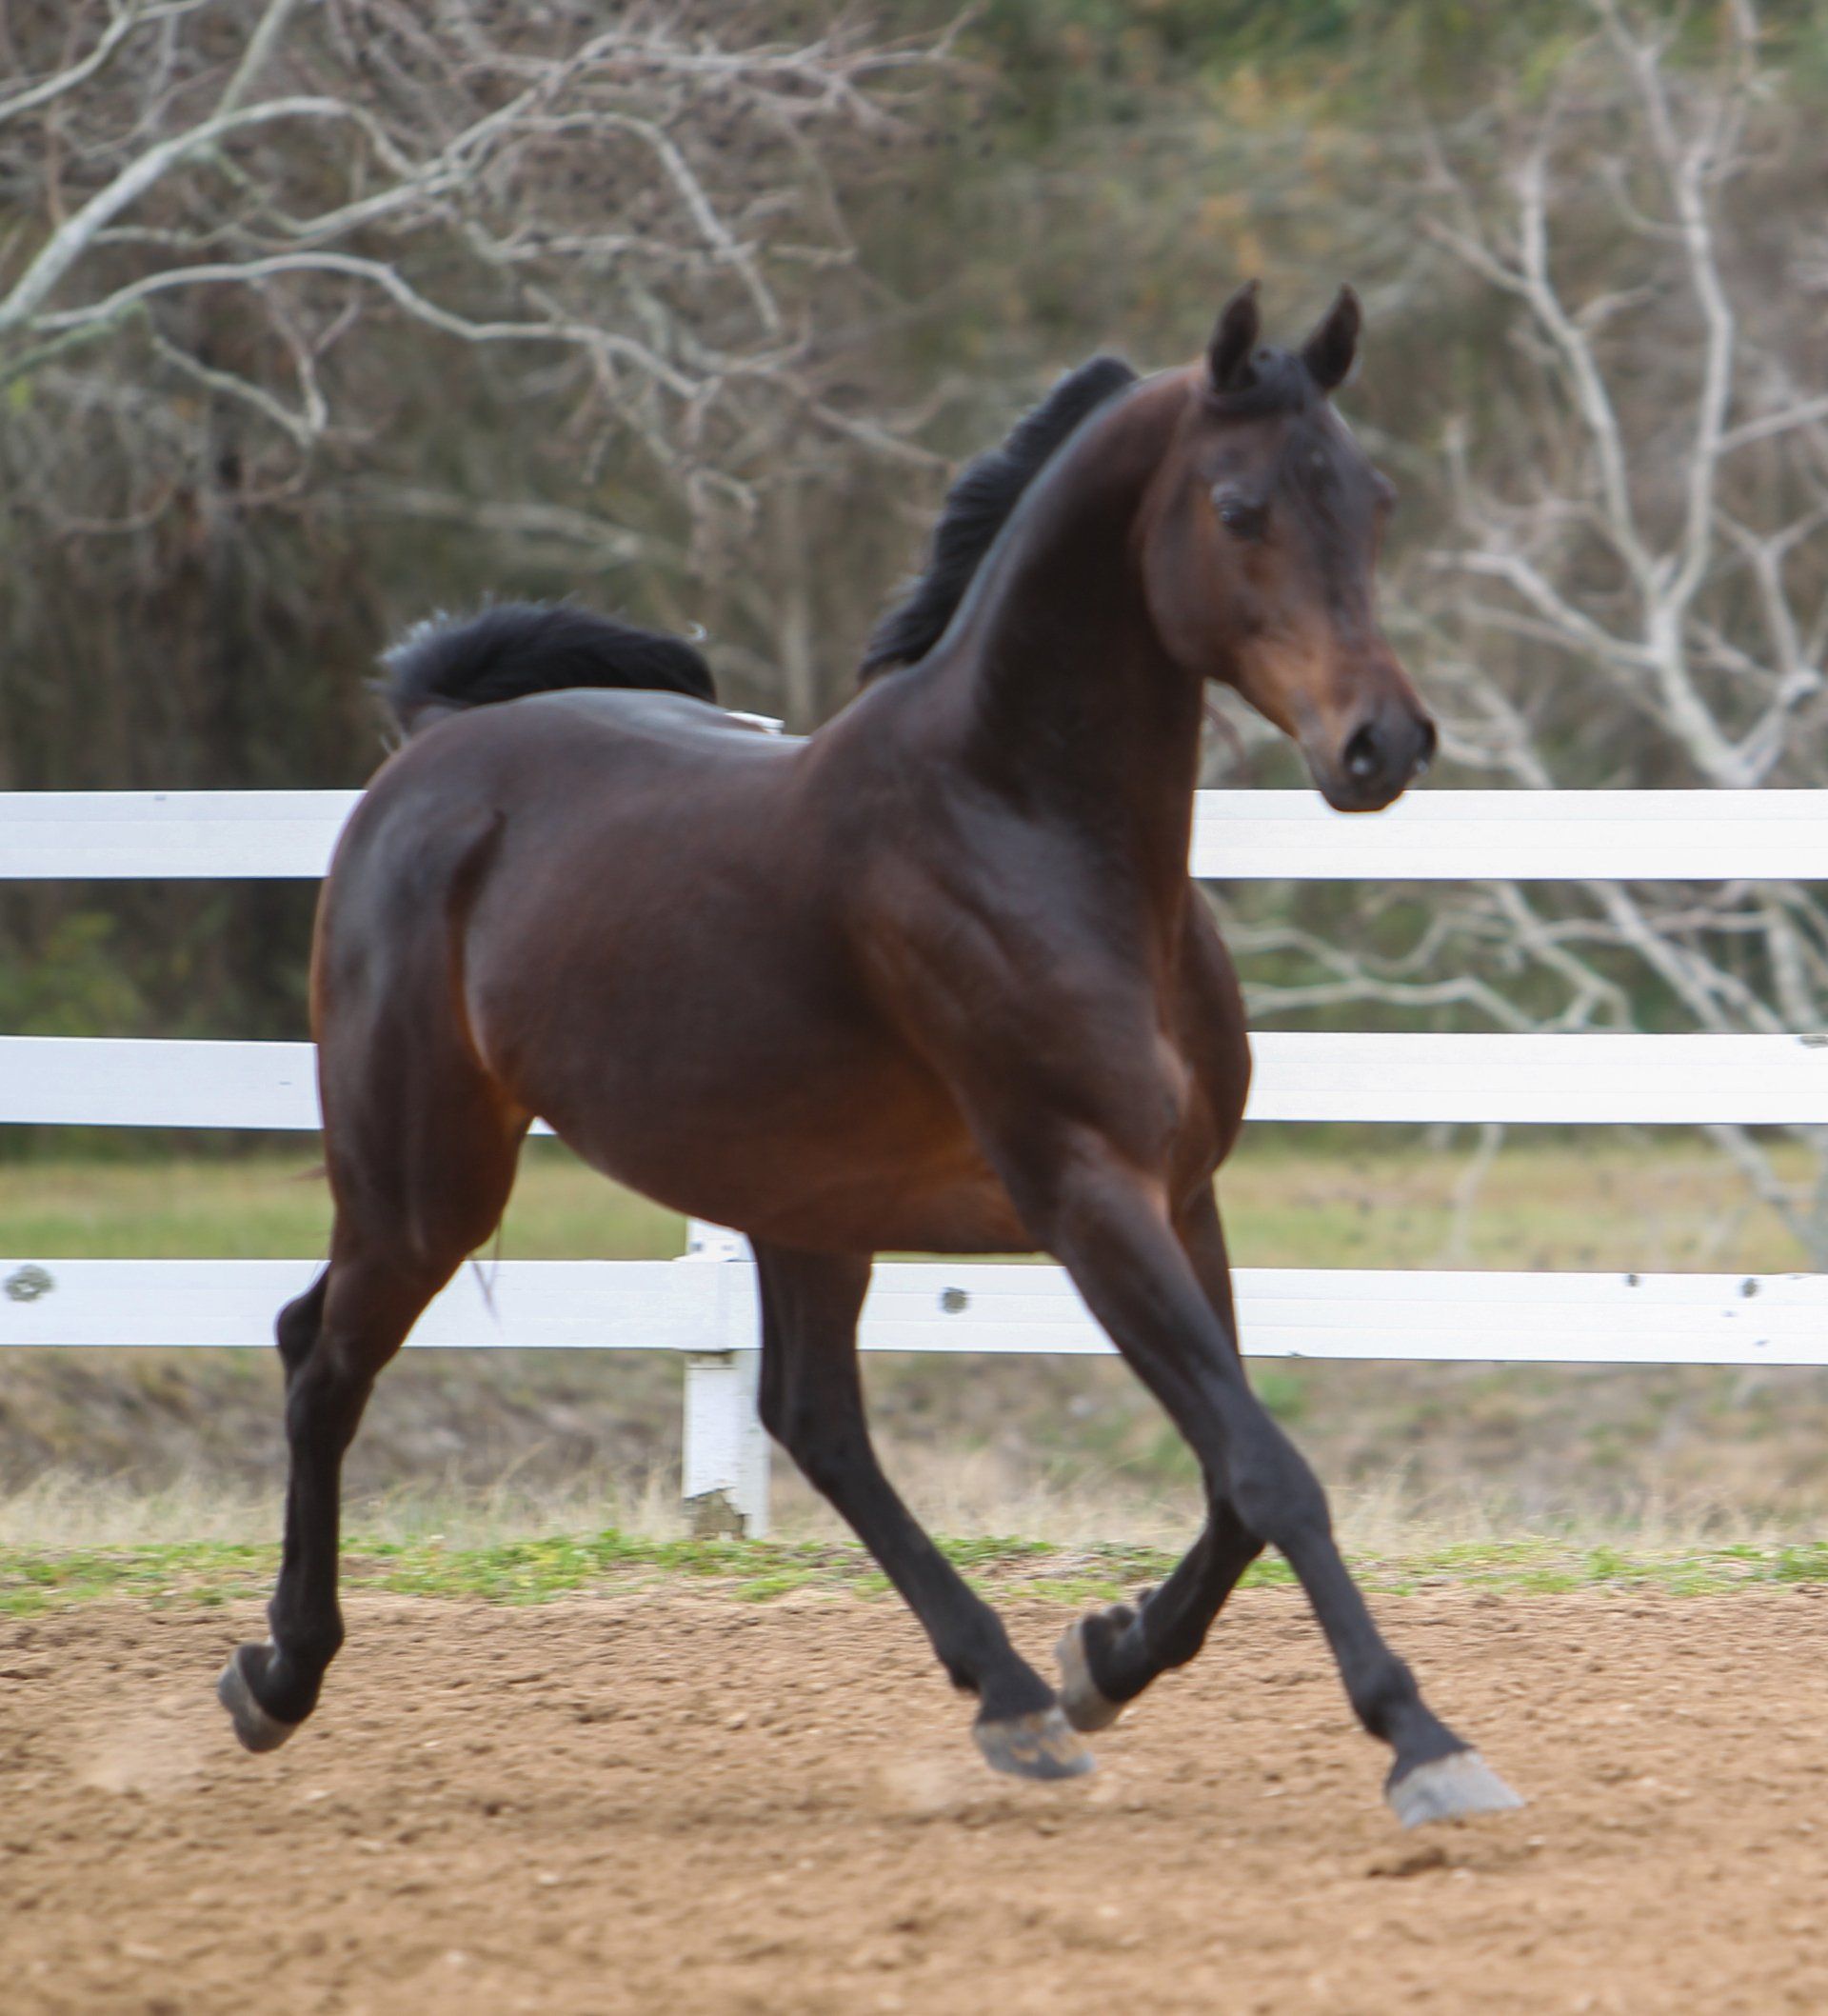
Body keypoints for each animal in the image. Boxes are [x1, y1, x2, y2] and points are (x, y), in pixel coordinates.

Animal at [216, 281, 1521, 1828]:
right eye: (1240, 504)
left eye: (1371, 500)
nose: (1383, 744)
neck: (1026, 829)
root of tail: (425, 752)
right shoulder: (1088, 1195)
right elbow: (1268, 1472)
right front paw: (1424, 1741)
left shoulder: (1183, 1192)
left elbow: (1228, 1481)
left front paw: (1106, 1654)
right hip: (427, 1184)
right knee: (322, 1357)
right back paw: (278, 1678)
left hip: (793, 1200)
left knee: (808, 1415)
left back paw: (1016, 1699)